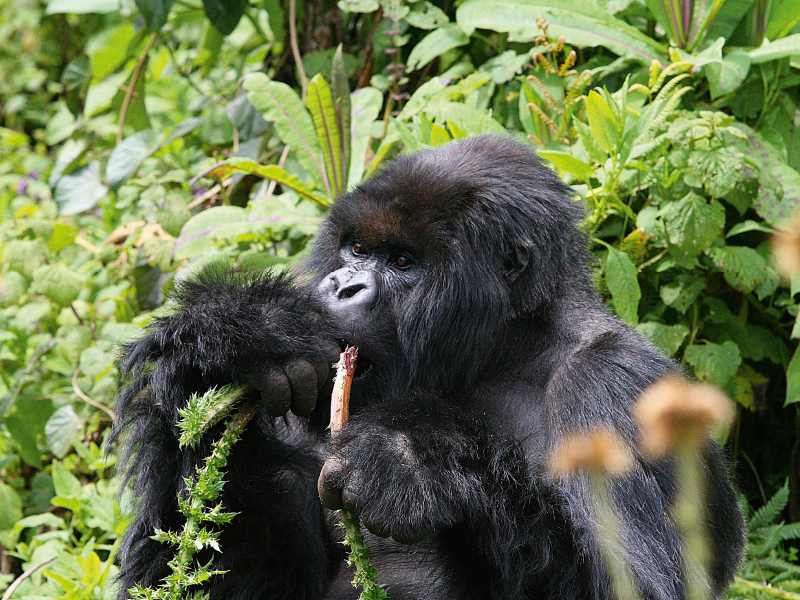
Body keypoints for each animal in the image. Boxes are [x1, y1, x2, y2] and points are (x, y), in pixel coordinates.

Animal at [112, 136, 744, 600]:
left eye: (401, 261)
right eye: (356, 249)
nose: (342, 286)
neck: (499, 354)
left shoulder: (616, 383)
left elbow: (635, 585)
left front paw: (411, 463)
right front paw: (231, 340)